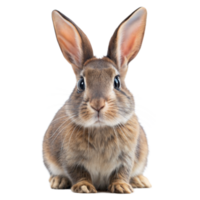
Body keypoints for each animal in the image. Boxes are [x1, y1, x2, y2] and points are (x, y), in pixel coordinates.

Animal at [41, 6, 153, 194]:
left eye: (117, 82)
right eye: (81, 83)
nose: (98, 104)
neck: (100, 128)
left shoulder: (126, 158)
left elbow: (121, 172)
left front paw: (122, 187)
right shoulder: (71, 159)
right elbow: (78, 173)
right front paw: (84, 187)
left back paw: (141, 181)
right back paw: (57, 181)